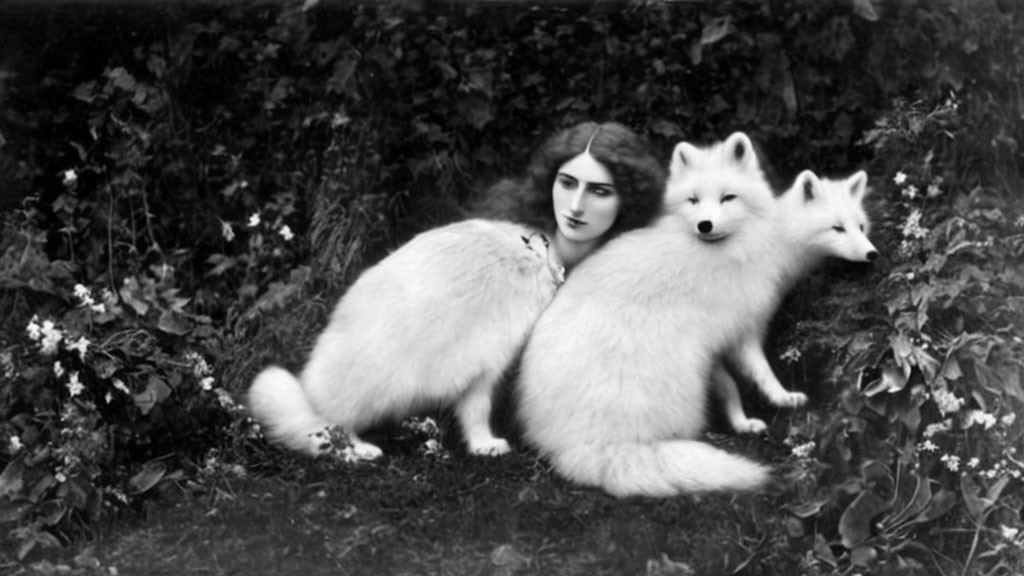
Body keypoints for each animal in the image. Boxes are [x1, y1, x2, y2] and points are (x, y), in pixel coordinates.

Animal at [250, 217, 565, 459]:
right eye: (536, 243)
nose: (544, 237)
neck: (517, 260)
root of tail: (310, 397)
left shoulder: (474, 380)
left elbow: (472, 418)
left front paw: (483, 447)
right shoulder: (485, 373)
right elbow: (478, 413)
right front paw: (492, 446)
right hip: (362, 399)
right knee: (334, 430)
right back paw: (363, 451)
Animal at [520, 132, 880, 496]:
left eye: (860, 226)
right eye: (836, 228)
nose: (872, 254)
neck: (766, 238)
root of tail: (578, 446)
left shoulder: (713, 346)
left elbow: (728, 386)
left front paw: (742, 422)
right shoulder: (740, 331)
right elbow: (759, 372)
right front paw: (783, 398)